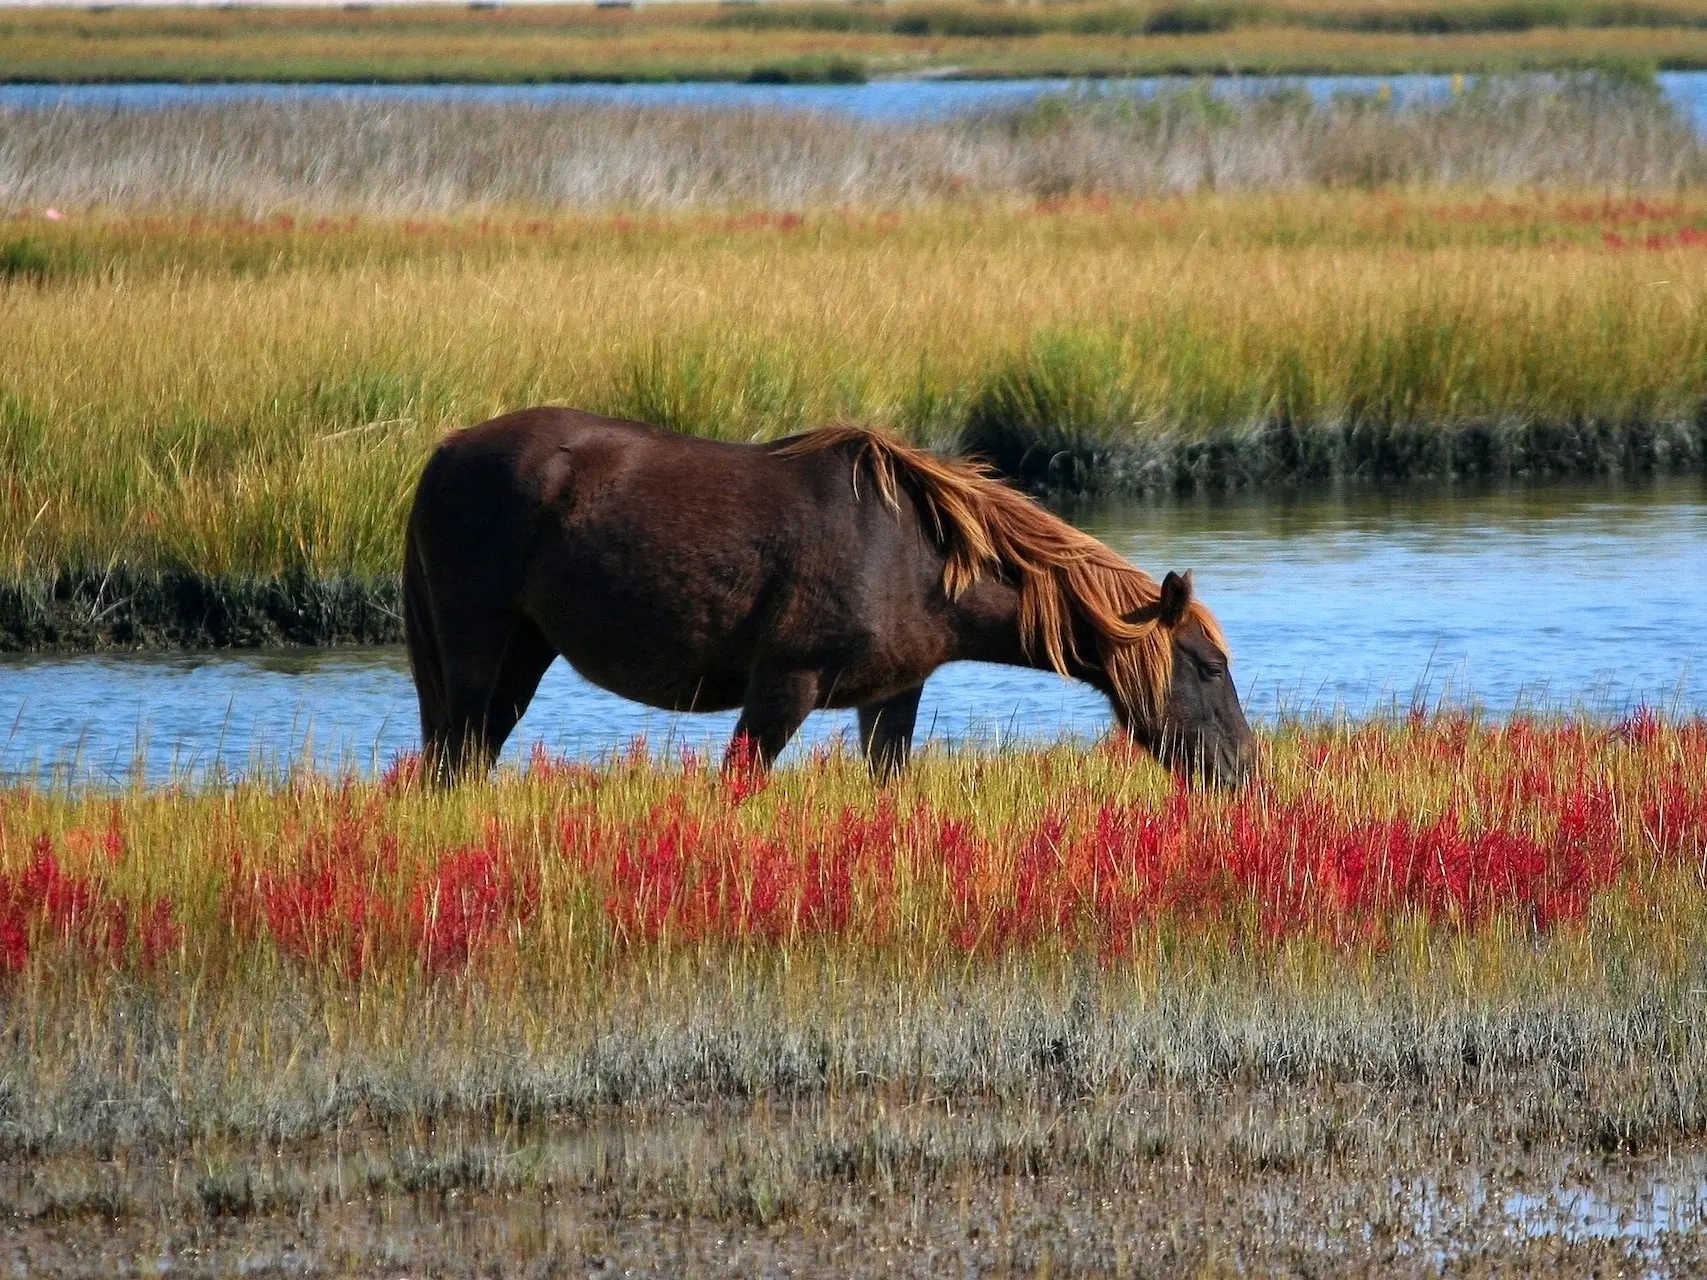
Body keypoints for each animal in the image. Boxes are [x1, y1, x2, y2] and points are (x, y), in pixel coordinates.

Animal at [399, 413, 1256, 791]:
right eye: (1208, 667)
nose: (1245, 772)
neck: (921, 556)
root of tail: (445, 452)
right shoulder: (784, 685)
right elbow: (739, 782)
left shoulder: (891, 696)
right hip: (476, 654)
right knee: (451, 760)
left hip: (523, 654)